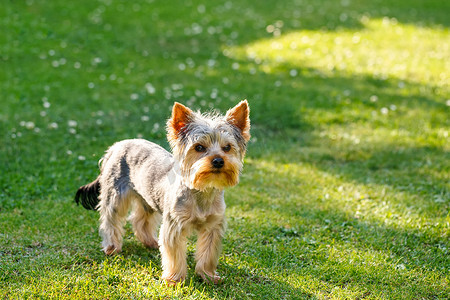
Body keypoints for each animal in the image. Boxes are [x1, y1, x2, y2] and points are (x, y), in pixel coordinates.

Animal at [74, 100, 250, 284]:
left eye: (227, 147)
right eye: (199, 147)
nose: (218, 161)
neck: (202, 190)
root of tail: (116, 146)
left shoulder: (213, 226)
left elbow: (208, 253)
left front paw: (208, 275)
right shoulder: (174, 225)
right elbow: (174, 255)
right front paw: (174, 280)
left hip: (148, 197)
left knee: (140, 219)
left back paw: (150, 242)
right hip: (115, 193)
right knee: (110, 219)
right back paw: (112, 247)